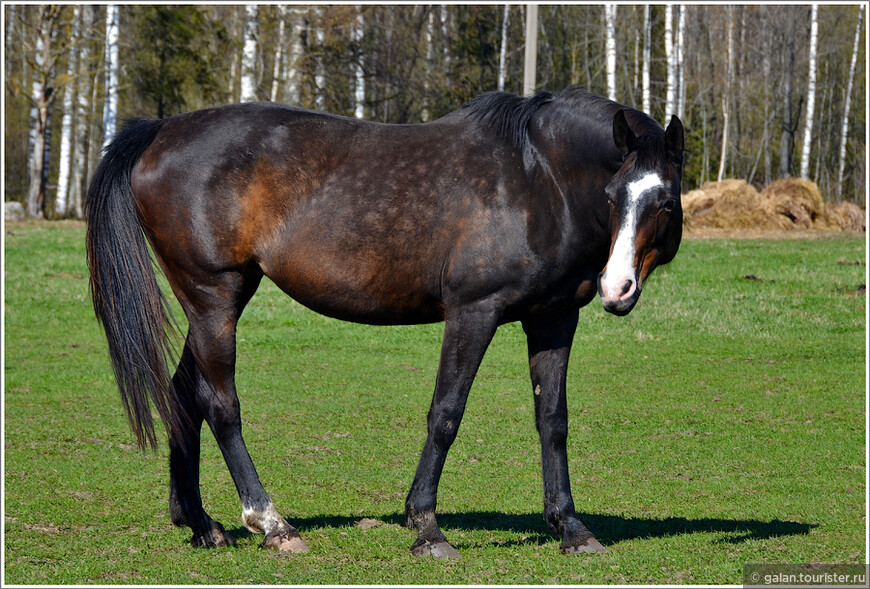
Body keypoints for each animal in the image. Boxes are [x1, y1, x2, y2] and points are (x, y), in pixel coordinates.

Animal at [88, 86, 688, 556]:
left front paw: (570, 528)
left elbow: (553, 421)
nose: (617, 288)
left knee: (181, 395)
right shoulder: (474, 312)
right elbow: (446, 414)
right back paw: (272, 524)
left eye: (665, 201)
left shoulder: (553, 319)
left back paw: (200, 523)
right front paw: (427, 528)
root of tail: (160, 130)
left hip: (213, 303)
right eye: (613, 194)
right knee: (220, 404)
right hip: (215, 298)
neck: (539, 178)